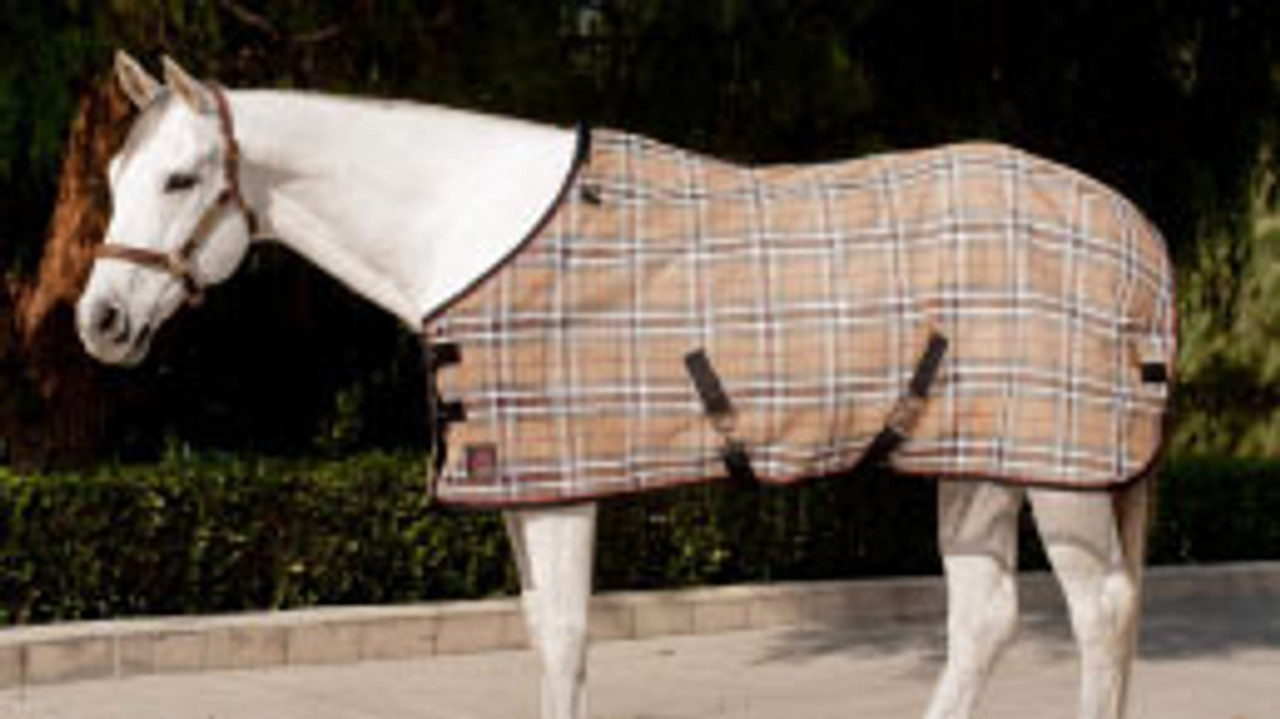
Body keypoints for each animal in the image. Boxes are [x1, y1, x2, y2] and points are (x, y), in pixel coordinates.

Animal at [76, 52, 1171, 719]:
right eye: (117, 177)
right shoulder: (522, 483)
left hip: (1061, 471)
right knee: (983, 616)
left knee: (1102, 610)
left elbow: (563, 640)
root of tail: (1137, 230)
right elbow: (540, 634)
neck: (477, 224)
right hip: (980, 457)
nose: (101, 322)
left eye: (181, 178)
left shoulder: (561, 488)